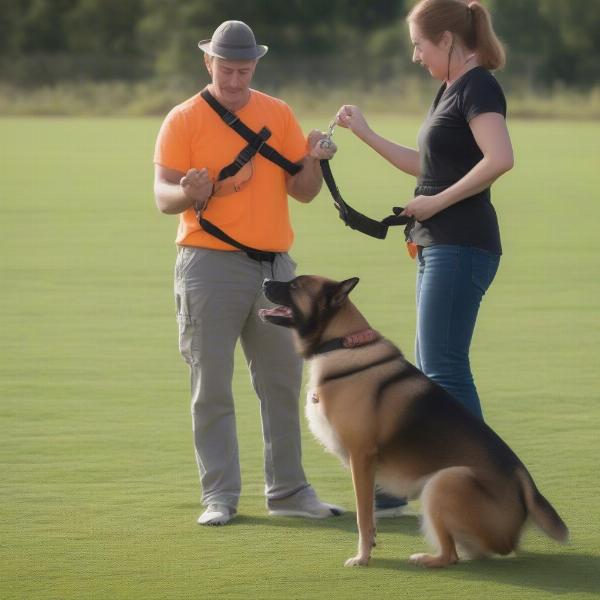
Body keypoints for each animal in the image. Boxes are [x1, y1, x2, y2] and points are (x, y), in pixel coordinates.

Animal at [258, 276, 568, 568]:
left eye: (295, 285)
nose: (265, 281)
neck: (341, 343)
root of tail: (524, 484)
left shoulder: (362, 459)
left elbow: (363, 517)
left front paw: (363, 557)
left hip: (444, 481)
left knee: (450, 555)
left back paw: (426, 559)